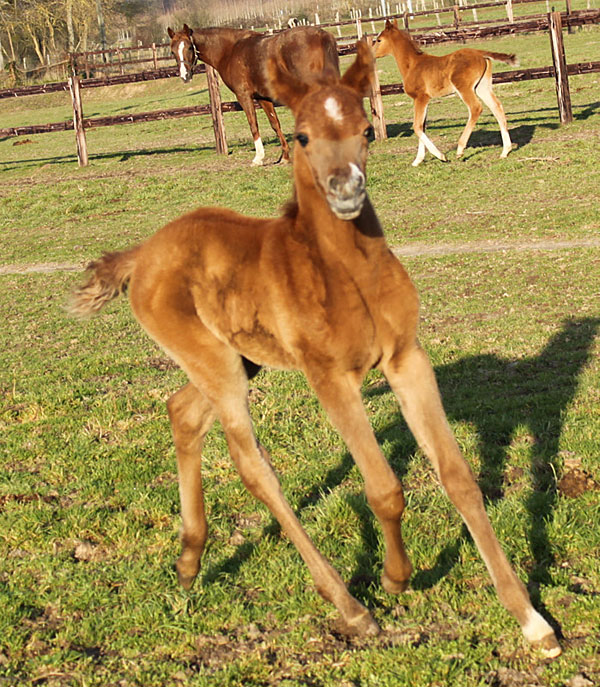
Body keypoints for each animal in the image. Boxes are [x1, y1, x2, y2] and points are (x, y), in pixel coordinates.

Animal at [71, 40, 564, 660]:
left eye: (367, 130)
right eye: (303, 136)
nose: (345, 189)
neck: (345, 274)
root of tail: (143, 252)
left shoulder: (407, 358)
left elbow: (459, 479)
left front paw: (532, 621)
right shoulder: (329, 377)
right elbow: (384, 487)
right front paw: (395, 578)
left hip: (238, 360)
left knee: (181, 411)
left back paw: (188, 561)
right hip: (220, 368)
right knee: (253, 467)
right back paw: (350, 608)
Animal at [168, 23, 342, 165]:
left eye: (189, 47)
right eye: (172, 51)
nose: (185, 76)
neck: (230, 51)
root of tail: (322, 36)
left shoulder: (244, 96)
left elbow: (253, 124)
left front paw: (258, 158)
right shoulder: (262, 98)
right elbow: (275, 124)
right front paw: (285, 157)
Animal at [376, 19, 516, 165]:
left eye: (379, 40)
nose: (372, 54)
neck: (412, 65)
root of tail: (480, 54)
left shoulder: (421, 97)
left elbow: (417, 127)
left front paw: (441, 156)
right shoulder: (424, 101)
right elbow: (422, 126)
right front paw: (418, 161)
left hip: (464, 88)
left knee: (475, 108)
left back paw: (460, 150)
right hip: (482, 86)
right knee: (496, 106)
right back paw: (505, 151)